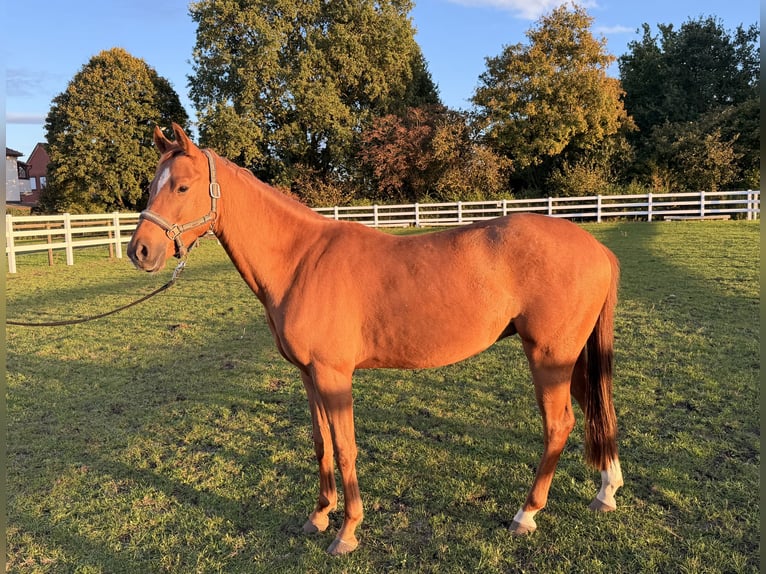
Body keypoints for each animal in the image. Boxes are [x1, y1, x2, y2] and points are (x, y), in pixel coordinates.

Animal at [127, 123, 623, 556]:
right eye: (153, 185)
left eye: (182, 187)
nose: (140, 251)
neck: (301, 260)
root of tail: (598, 248)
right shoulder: (309, 376)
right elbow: (322, 443)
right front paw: (319, 515)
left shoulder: (334, 376)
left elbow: (346, 448)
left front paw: (347, 531)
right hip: (567, 359)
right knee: (597, 409)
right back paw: (607, 491)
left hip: (549, 358)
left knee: (559, 425)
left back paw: (526, 513)